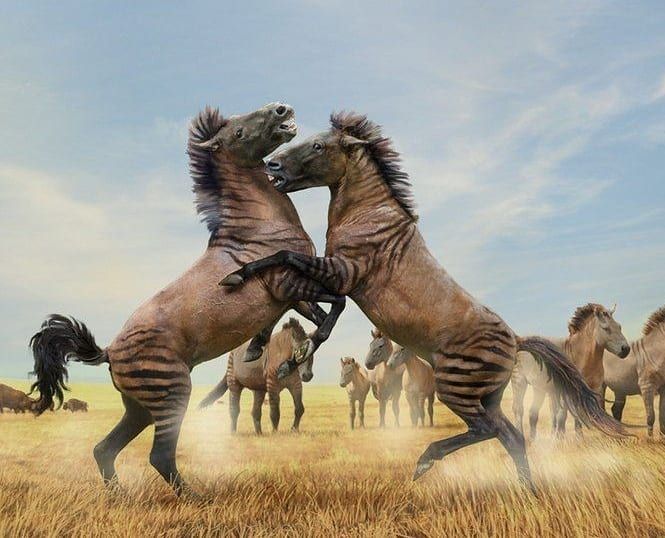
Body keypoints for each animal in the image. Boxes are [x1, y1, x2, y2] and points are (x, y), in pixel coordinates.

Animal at [28, 103, 346, 497]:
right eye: (238, 132)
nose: (281, 109)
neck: (257, 228)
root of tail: (109, 352)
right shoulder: (289, 285)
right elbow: (337, 304)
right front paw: (289, 354)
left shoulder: (290, 294)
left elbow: (320, 316)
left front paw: (283, 353)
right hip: (172, 394)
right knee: (159, 455)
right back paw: (196, 497)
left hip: (140, 408)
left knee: (104, 448)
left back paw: (121, 496)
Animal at [511, 303, 629, 439]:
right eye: (606, 328)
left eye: (619, 326)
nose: (626, 349)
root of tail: (520, 342)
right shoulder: (568, 392)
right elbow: (563, 416)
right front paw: (562, 439)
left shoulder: (594, 390)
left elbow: (589, 413)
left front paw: (585, 437)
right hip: (519, 382)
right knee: (518, 410)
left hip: (539, 388)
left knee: (533, 413)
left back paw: (534, 440)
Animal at [604, 305, 665, 436]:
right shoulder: (647, 387)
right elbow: (651, 416)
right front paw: (650, 440)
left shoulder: (664, 388)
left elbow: (662, 417)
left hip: (620, 388)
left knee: (616, 410)